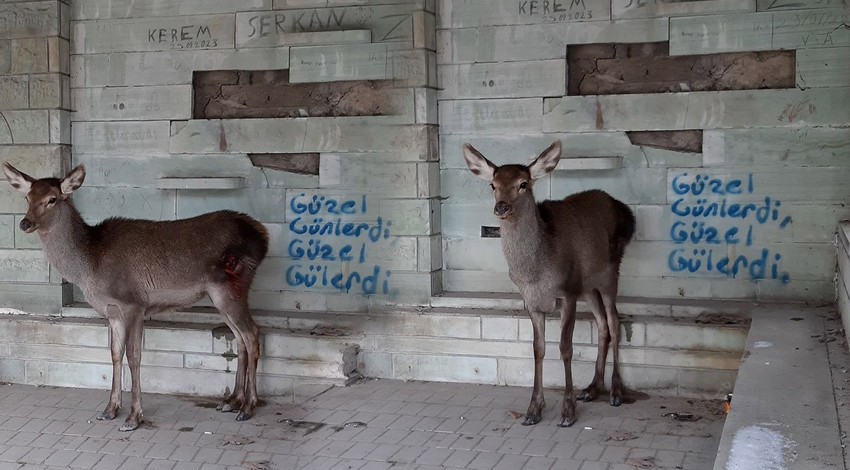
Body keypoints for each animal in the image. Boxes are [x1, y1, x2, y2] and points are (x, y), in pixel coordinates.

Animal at [2, 163, 268, 432]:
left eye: (52, 199)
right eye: (27, 197)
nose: (25, 223)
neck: (89, 265)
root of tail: (263, 237)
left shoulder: (133, 303)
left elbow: (134, 356)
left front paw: (133, 417)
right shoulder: (112, 310)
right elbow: (115, 353)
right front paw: (110, 410)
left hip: (231, 286)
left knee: (251, 333)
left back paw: (248, 406)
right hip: (220, 296)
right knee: (239, 338)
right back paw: (232, 400)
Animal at [460, 139, 632, 426]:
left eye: (523, 183)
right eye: (493, 185)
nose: (501, 207)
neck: (536, 274)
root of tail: (627, 211)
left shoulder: (567, 292)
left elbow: (565, 348)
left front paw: (567, 412)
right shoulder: (532, 302)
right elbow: (537, 349)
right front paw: (533, 410)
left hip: (610, 273)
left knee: (615, 322)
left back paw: (616, 392)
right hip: (588, 286)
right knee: (602, 325)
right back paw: (592, 388)